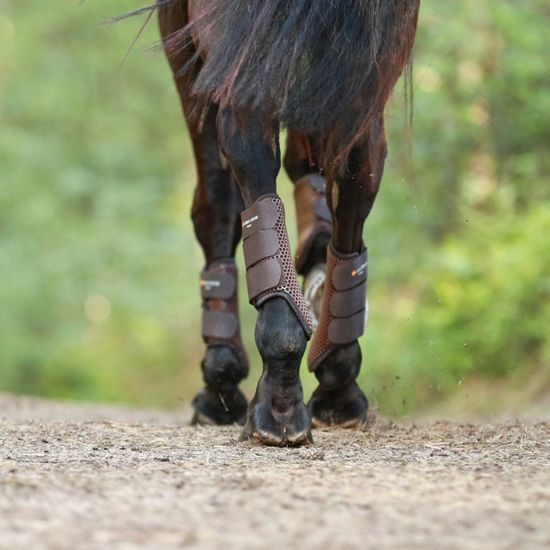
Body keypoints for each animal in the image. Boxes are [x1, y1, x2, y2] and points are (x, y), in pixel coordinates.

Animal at [153, 0, 420, 446]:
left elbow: (215, 201)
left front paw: (221, 380)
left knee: (246, 140)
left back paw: (277, 397)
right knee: (360, 159)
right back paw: (333, 382)